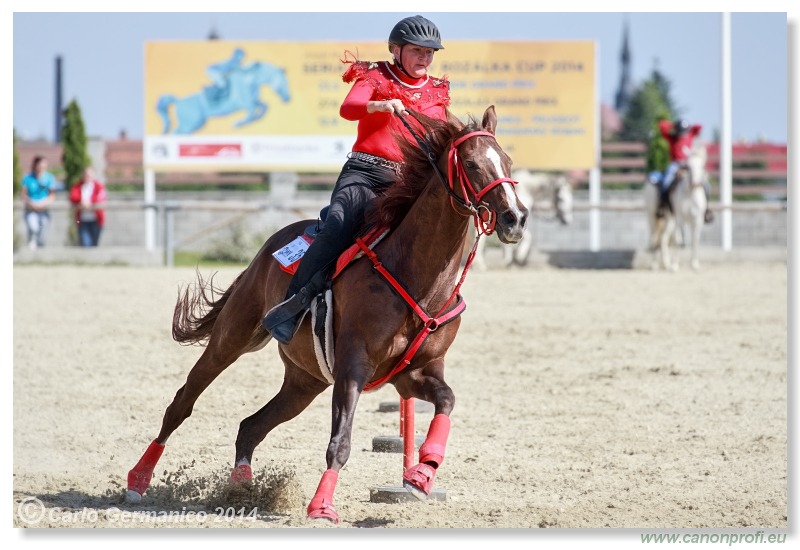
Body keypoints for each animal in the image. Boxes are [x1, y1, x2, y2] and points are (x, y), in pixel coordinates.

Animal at [125, 106, 528, 528]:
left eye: (507, 161)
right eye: (471, 163)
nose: (515, 218)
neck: (416, 273)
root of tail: (269, 246)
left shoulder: (414, 374)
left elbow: (447, 401)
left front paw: (421, 473)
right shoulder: (353, 367)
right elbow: (340, 442)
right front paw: (321, 505)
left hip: (304, 382)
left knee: (250, 427)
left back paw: (241, 488)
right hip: (231, 339)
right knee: (182, 403)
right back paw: (138, 480)